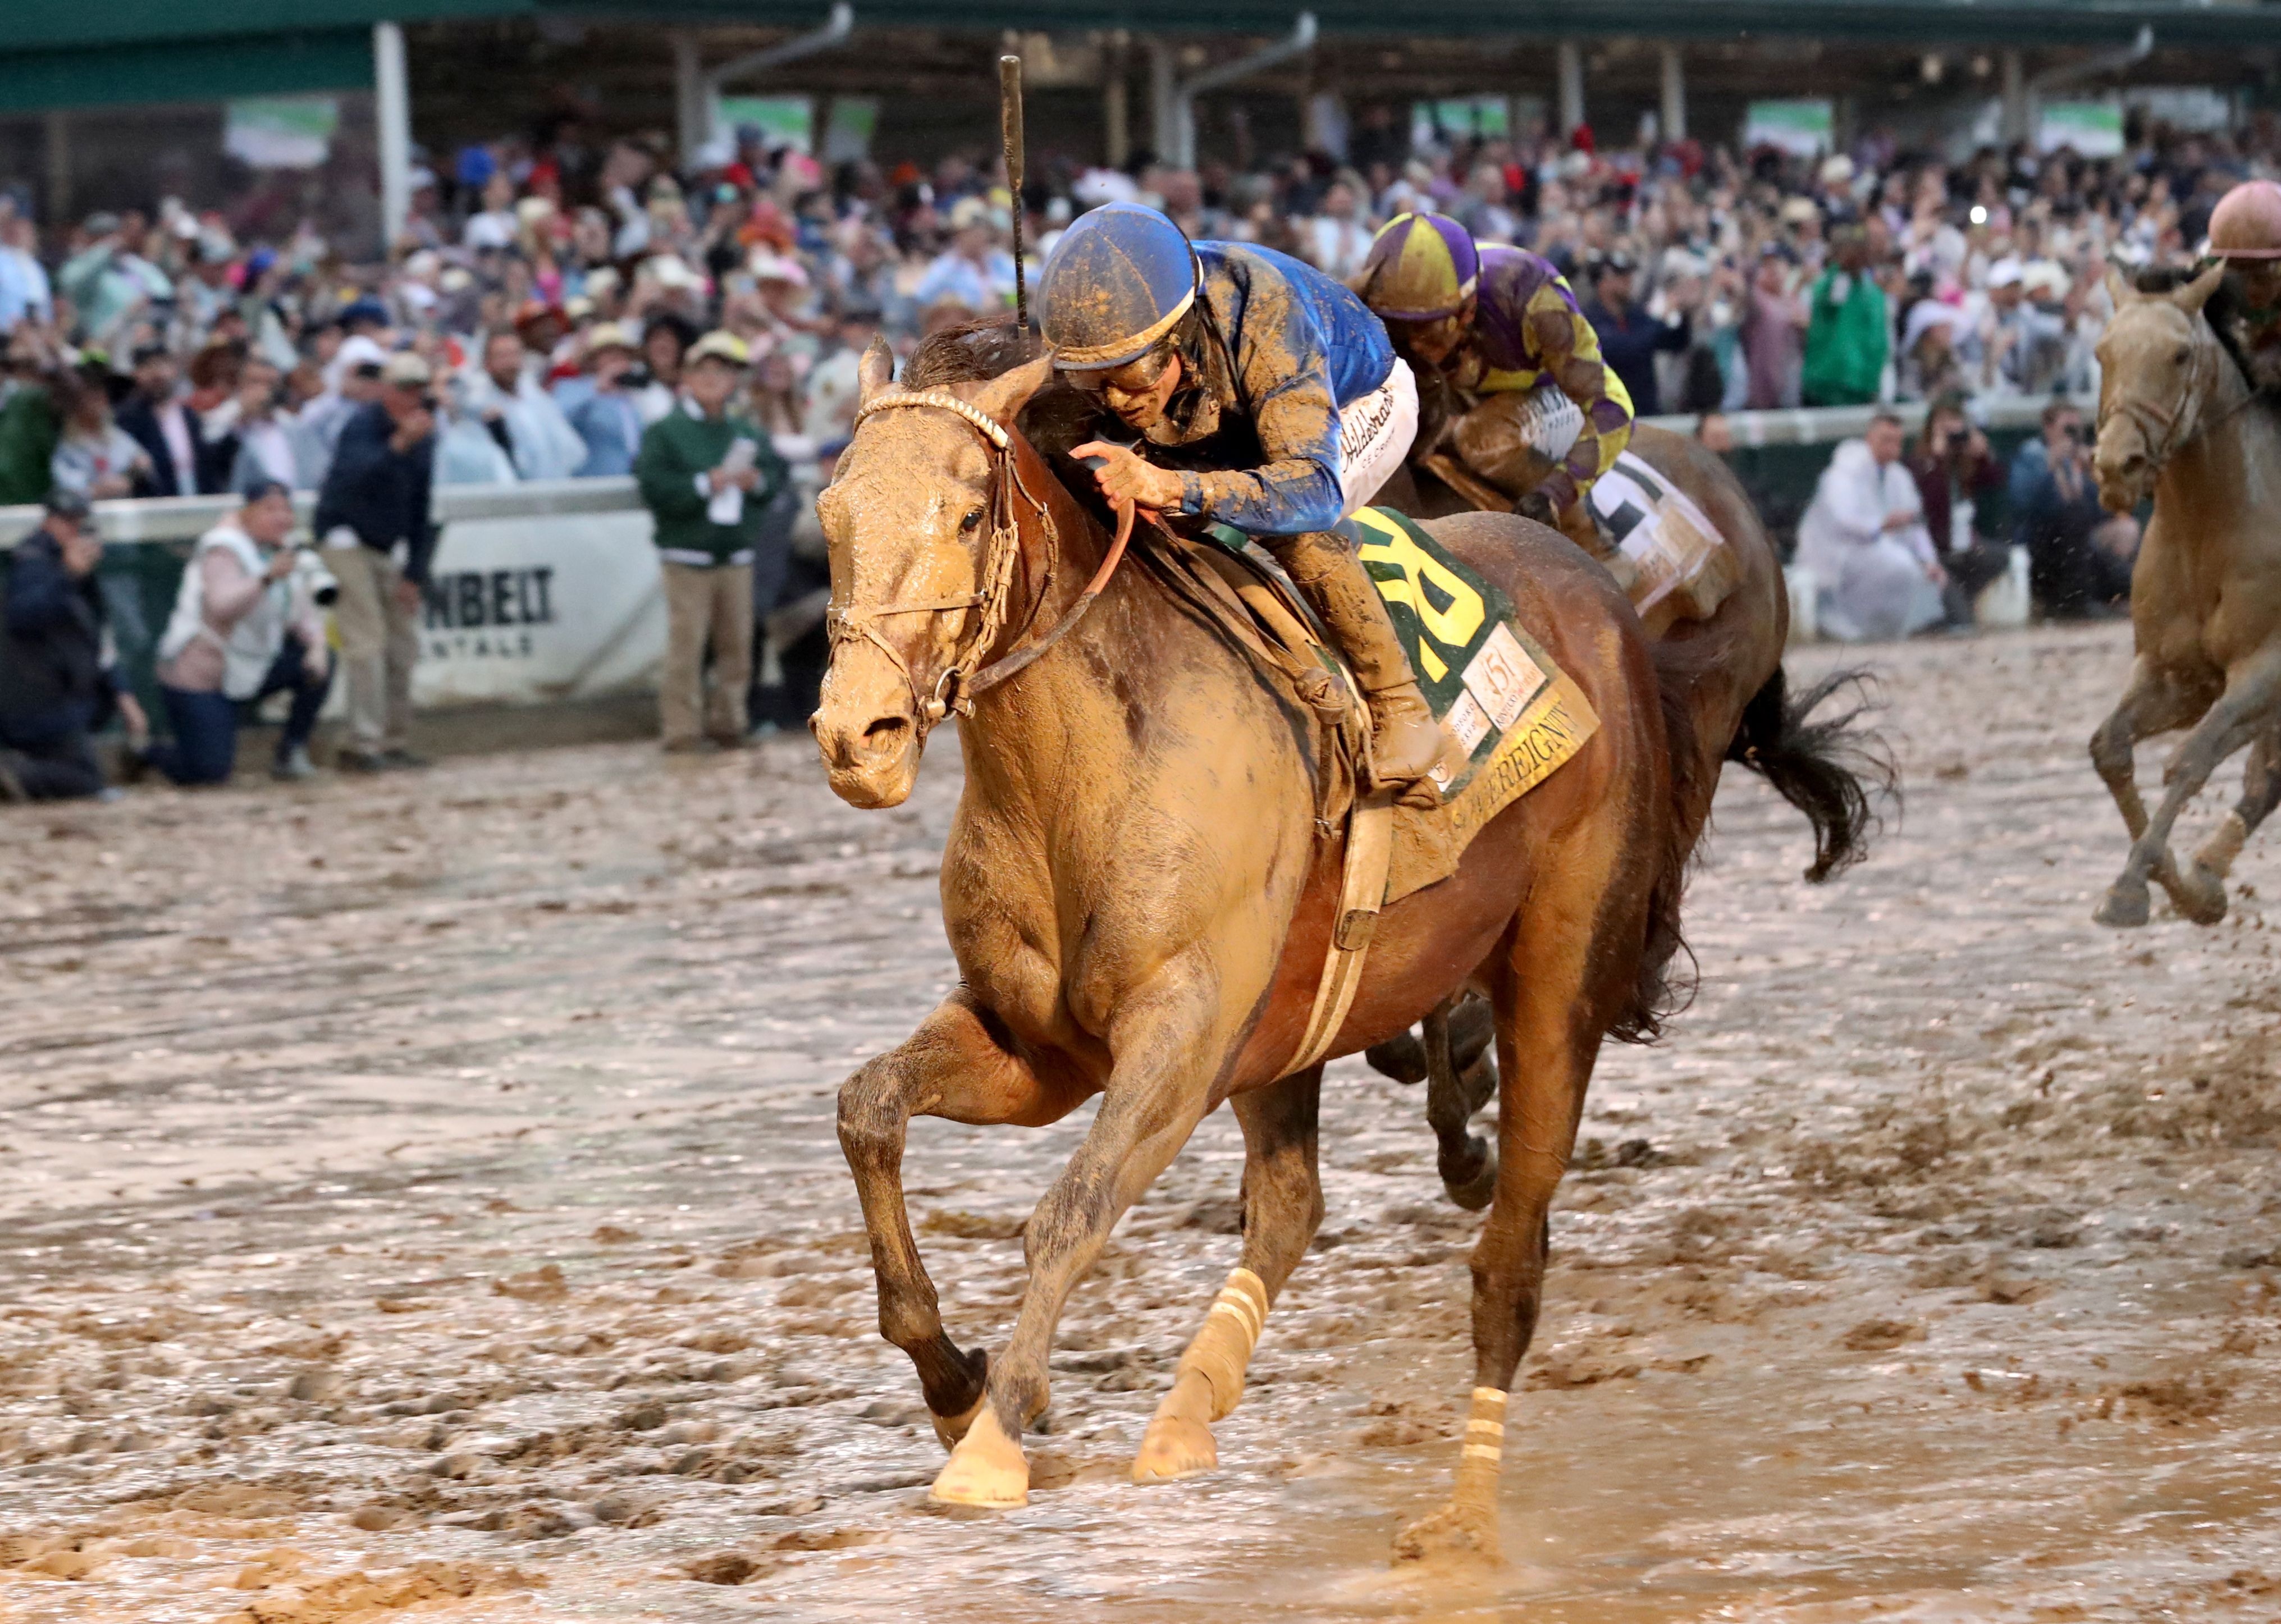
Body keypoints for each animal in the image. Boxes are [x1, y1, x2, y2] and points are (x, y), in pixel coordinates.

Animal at [810, 323, 1694, 1562]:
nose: (858, 736)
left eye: (971, 514)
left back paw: (1463, 1520)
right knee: (1290, 1206)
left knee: (1510, 1259)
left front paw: (991, 1441)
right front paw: (949, 1379)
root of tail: (1598, 595)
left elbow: (1069, 1211)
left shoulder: (1180, 1038)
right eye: (831, 512)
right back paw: (1187, 1415)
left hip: (1558, 984)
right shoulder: (1038, 1049)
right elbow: (868, 1111)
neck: (1079, 775)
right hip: (1291, 1027)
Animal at [2089, 263, 2281, 929]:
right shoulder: (2178, 675)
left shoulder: (2267, 669)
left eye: (2178, 355)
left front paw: (2132, 885)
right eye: (2101, 352)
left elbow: (2191, 758)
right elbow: (2109, 748)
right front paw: (2180, 885)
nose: (2116, 465)